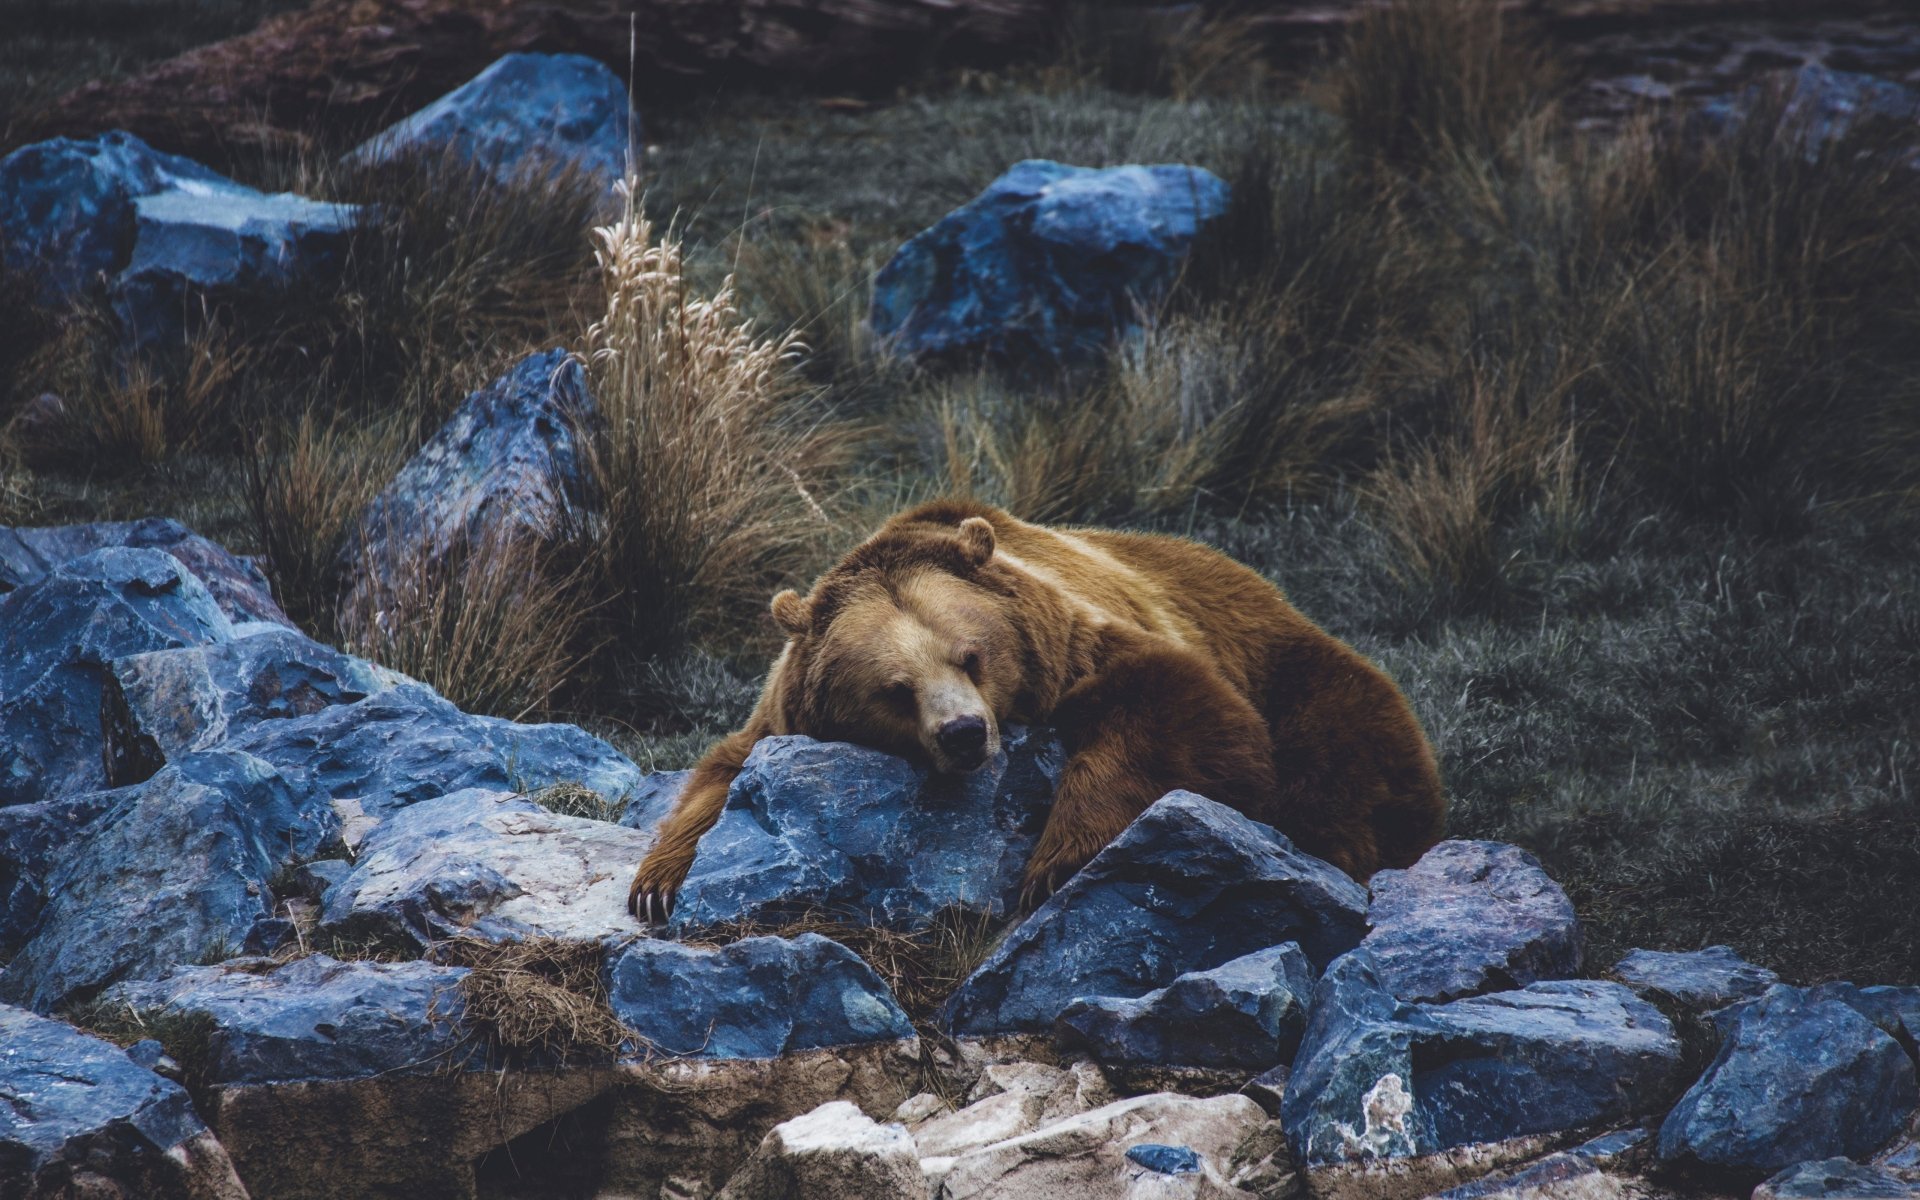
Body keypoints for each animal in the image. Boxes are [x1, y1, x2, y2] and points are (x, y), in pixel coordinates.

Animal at [629, 499, 1445, 923]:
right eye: (895, 688)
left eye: (971, 655)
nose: (964, 734)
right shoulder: (784, 714)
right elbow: (721, 773)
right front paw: (658, 884)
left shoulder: (1078, 641)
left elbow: (1180, 712)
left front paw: (1054, 864)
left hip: (1285, 660)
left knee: (1344, 757)